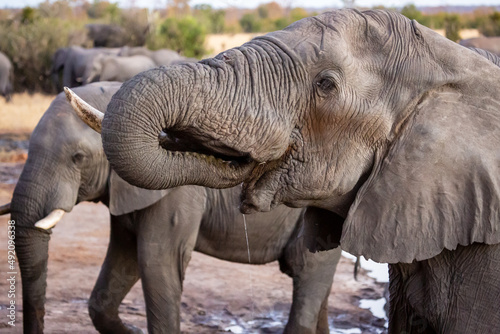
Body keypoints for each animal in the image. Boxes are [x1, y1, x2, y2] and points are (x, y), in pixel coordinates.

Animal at [2, 82, 340, 332]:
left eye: (78, 158)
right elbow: (122, 260)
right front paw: (132, 331)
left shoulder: (178, 194)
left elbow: (157, 261)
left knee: (306, 270)